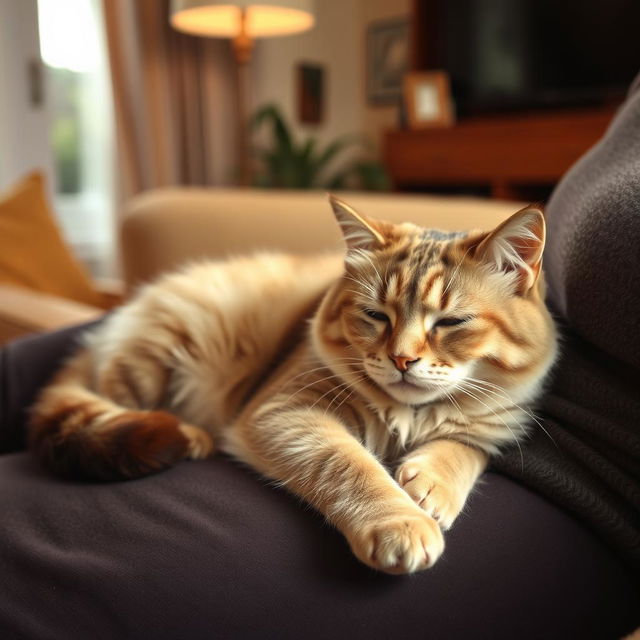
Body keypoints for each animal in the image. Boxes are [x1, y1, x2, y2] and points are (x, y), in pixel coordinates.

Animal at [30, 195, 556, 576]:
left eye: (451, 322)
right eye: (376, 316)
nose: (402, 359)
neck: (411, 414)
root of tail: (109, 326)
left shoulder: (492, 427)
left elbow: (462, 449)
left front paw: (430, 486)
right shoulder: (287, 412)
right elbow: (352, 467)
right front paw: (403, 522)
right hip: (156, 353)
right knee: (110, 401)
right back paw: (191, 435)